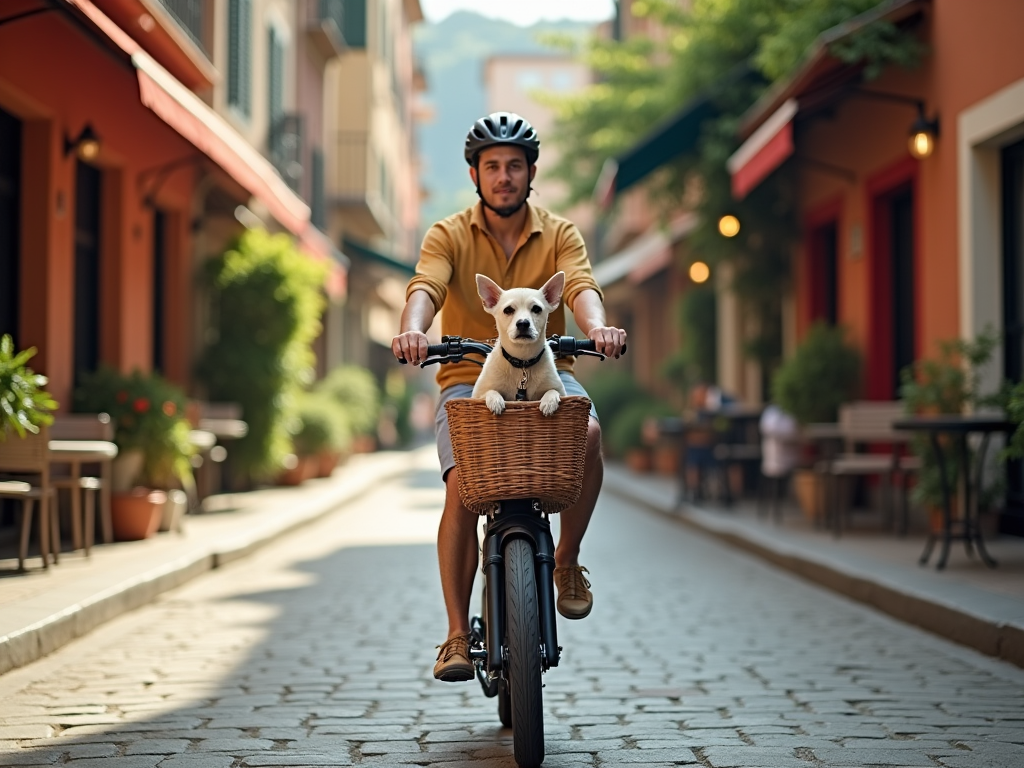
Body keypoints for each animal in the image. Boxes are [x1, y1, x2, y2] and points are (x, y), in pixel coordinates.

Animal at [471, 270, 569, 415]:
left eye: (536, 309)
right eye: (508, 310)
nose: (523, 323)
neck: (522, 361)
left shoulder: (561, 391)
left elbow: (552, 391)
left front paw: (549, 402)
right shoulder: (477, 395)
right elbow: (490, 391)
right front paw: (495, 401)